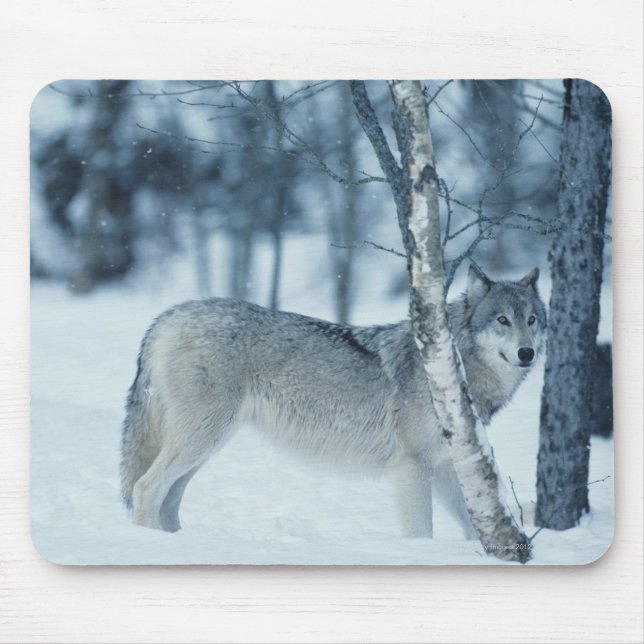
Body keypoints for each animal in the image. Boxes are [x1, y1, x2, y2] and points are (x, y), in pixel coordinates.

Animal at [121, 264, 546, 538]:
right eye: (502, 320)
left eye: (532, 319)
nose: (527, 353)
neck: (452, 368)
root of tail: (166, 317)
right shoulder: (411, 466)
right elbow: (421, 532)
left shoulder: (442, 467)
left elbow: (475, 527)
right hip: (202, 438)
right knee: (145, 488)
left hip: (207, 445)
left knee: (169, 499)